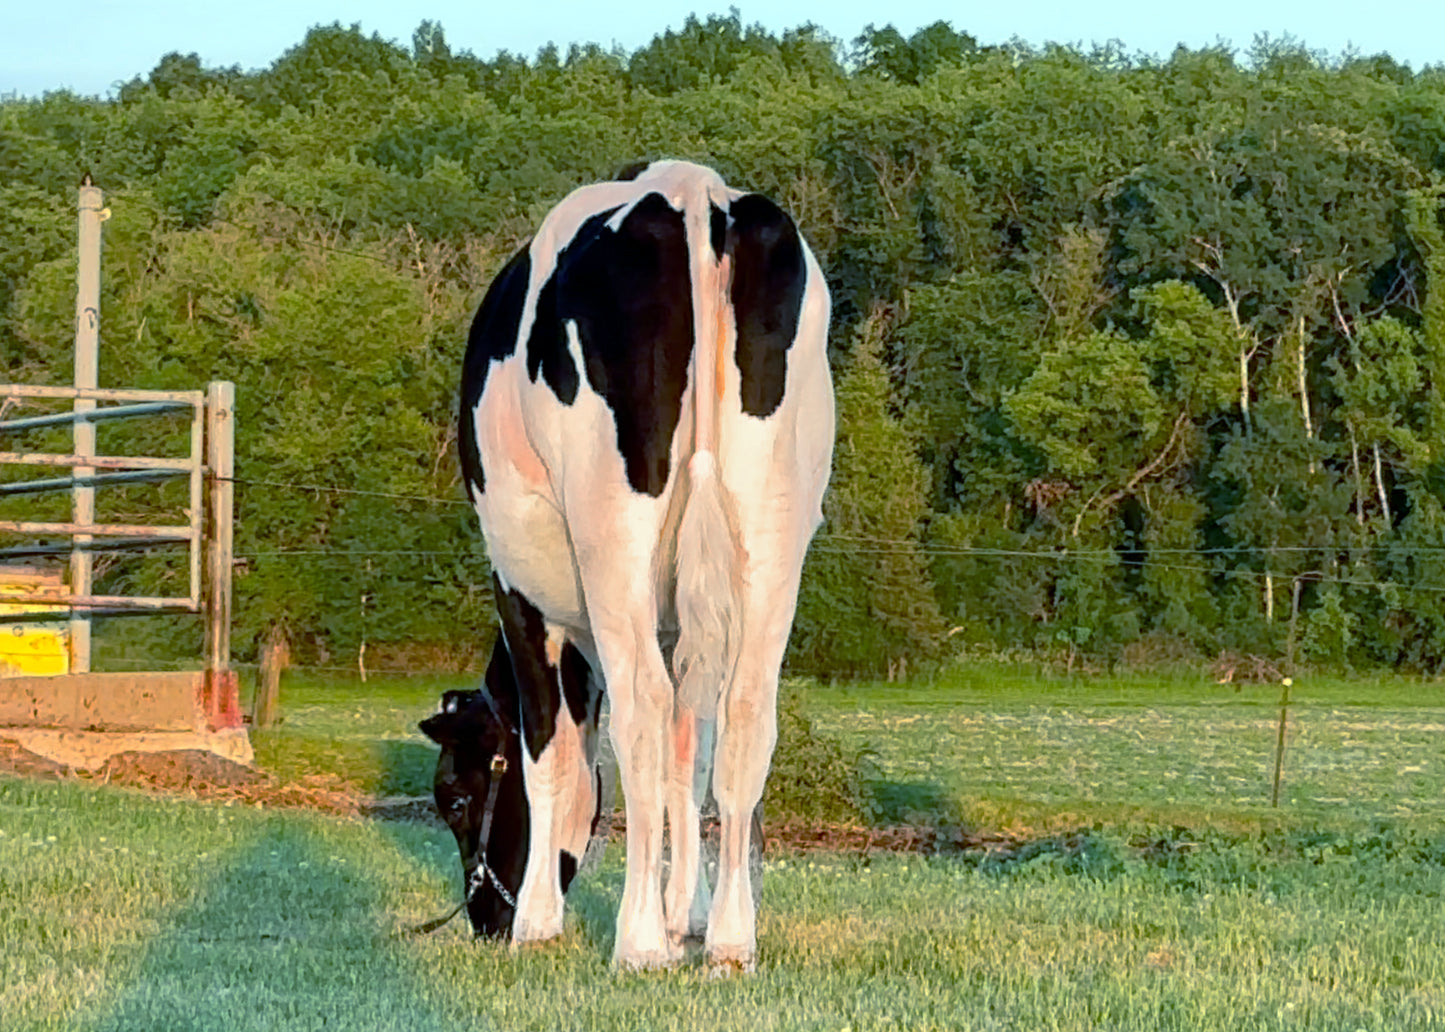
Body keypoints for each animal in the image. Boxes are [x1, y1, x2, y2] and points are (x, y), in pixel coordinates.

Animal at [438, 159, 833, 971]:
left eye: (454, 801)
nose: (484, 919)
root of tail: (693, 191)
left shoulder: (517, 590)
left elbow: (550, 751)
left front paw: (542, 923)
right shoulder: (683, 622)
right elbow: (692, 752)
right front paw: (686, 913)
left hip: (610, 532)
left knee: (642, 708)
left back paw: (638, 942)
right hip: (773, 531)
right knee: (746, 714)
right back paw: (729, 940)